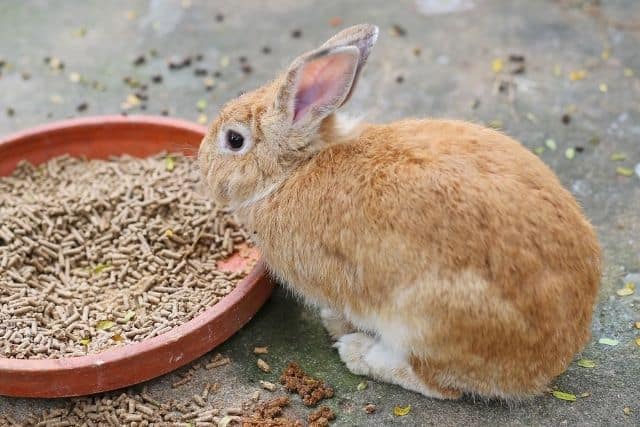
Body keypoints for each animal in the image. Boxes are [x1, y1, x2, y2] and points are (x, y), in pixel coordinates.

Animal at [199, 22, 600, 398]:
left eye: (234, 140)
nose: (203, 167)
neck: (293, 170)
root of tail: (548, 364)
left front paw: (337, 324)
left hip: (426, 320)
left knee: (438, 383)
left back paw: (358, 353)